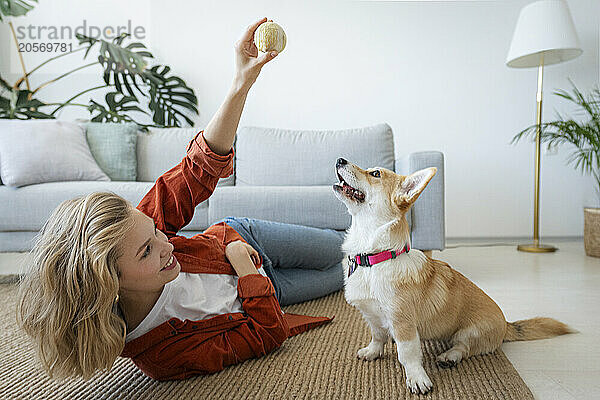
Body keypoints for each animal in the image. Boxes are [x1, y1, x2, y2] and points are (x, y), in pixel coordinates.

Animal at [332, 157, 572, 394]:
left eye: (376, 174)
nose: (339, 160)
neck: (373, 258)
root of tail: (507, 324)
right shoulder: (372, 315)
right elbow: (378, 336)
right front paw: (372, 352)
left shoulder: (403, 323)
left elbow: (407, 354)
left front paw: (417, 379)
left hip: (470, 332)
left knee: (464, 347)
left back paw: (449, 357)